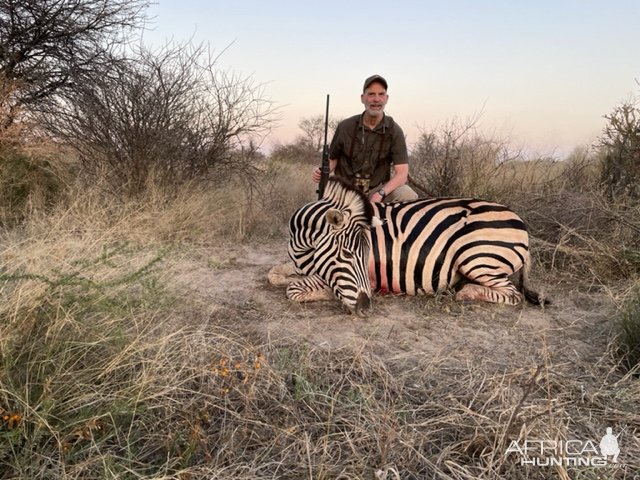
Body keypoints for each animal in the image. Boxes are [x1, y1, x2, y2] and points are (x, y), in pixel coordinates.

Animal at [270, 176, 544, 316]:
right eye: (346, 253)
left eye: (365, 254)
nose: (366, 307)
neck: (304, 246)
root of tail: (520, 221)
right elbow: (274, 275)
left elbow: (294, 289)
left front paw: (328, 293)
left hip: (477, 258)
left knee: (513, 294)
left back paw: (465, 292)